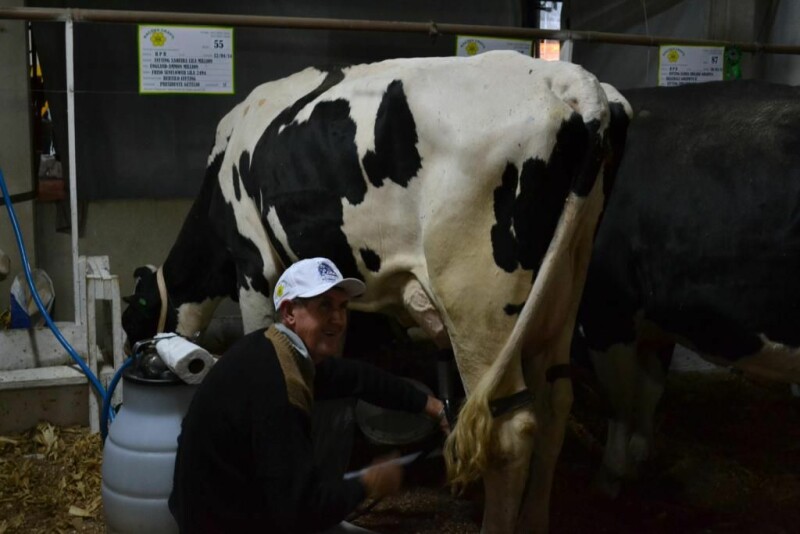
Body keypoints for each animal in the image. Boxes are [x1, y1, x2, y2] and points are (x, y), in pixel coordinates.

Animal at [120, 51, 632, 534]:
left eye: (134, 316)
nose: (136, 354)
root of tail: (568, 80)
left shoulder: (254, 265)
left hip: (478, 304)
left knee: (510, 430)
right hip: (563, 290)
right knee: (555, 404)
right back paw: (534, 519)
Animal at [580, 81, 800, 500]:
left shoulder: (608, 306)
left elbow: (620, 399)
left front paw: (609, 477)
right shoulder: (654, 315)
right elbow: (650, 386)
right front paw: (640, 453)